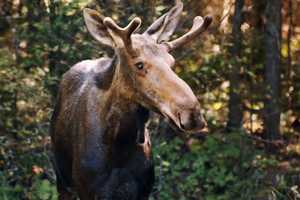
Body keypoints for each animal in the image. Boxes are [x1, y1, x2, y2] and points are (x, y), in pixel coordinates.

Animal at [50, 0, 212, 199]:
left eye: (171, 62)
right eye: (139, 64)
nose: (192, 113)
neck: (120, 145)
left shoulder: (143, 190)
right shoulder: (87, 190)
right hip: (62, 179)